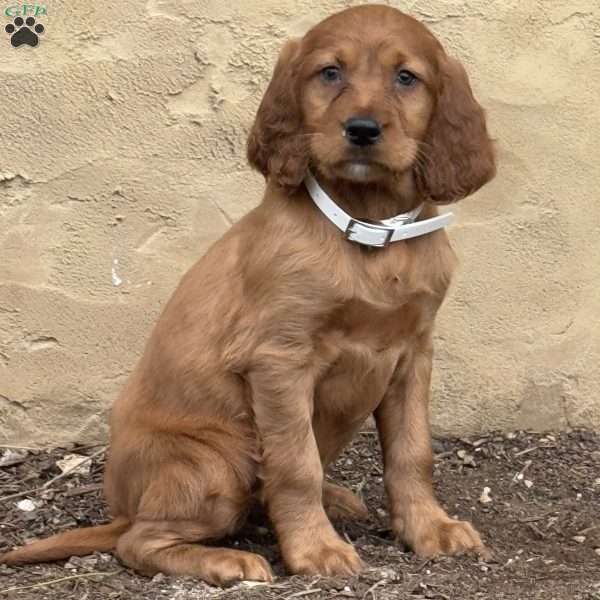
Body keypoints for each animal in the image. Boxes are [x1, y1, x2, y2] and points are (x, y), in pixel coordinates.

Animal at [2, 4, 494, 584]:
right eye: (330, 72)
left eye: (406, 77)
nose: (362, 129)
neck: (369, 229)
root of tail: (122, 507)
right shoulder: (279, 360)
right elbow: (297, 465)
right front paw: (314, 551)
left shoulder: (413, 353)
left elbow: (412, 452)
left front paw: (430, 529)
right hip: (217, 460)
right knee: (139, 542)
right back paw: (227, 560)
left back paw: (335, 502)